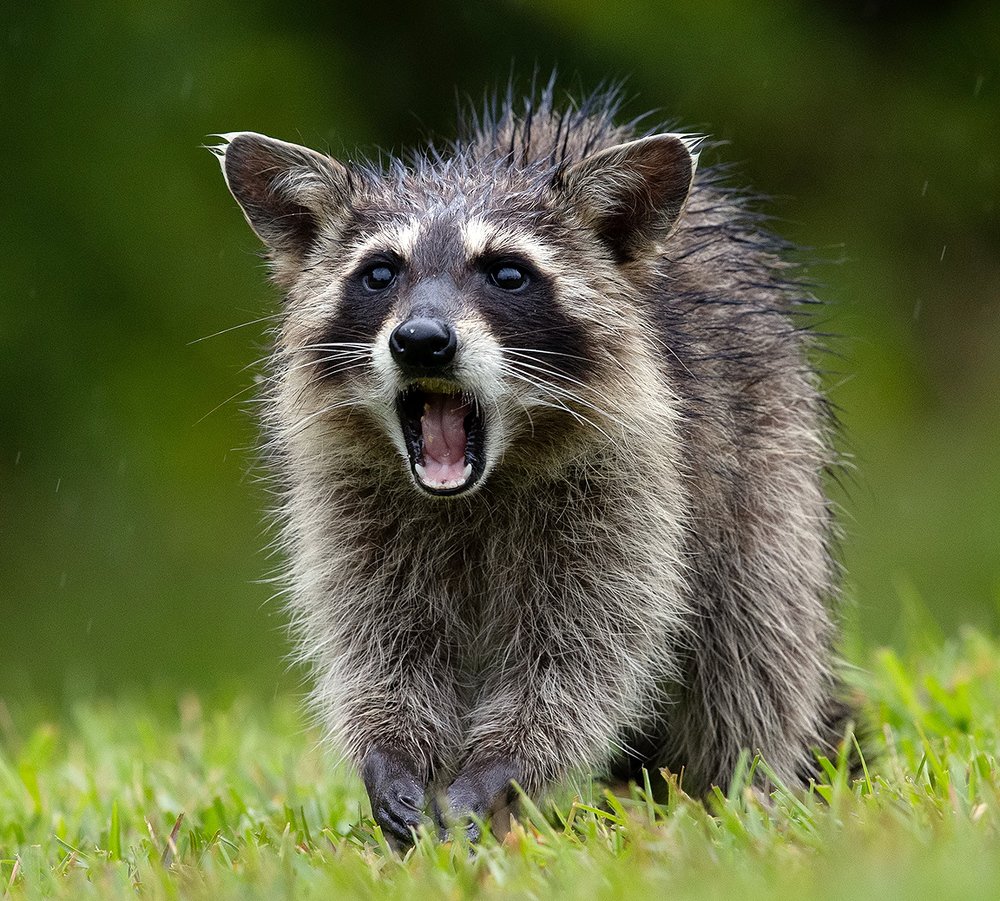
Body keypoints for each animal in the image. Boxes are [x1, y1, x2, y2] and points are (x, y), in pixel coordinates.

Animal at [212, 87, 853, 843]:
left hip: (769, 468)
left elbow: (586, 650)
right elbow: (380, 637)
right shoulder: (350, 498)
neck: (479, 485)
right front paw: (391, 749)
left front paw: (500, 768)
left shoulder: (634, 480)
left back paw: (736, 790)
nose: (421, 340)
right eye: (380, 272)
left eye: (508, 273)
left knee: (753, 646)